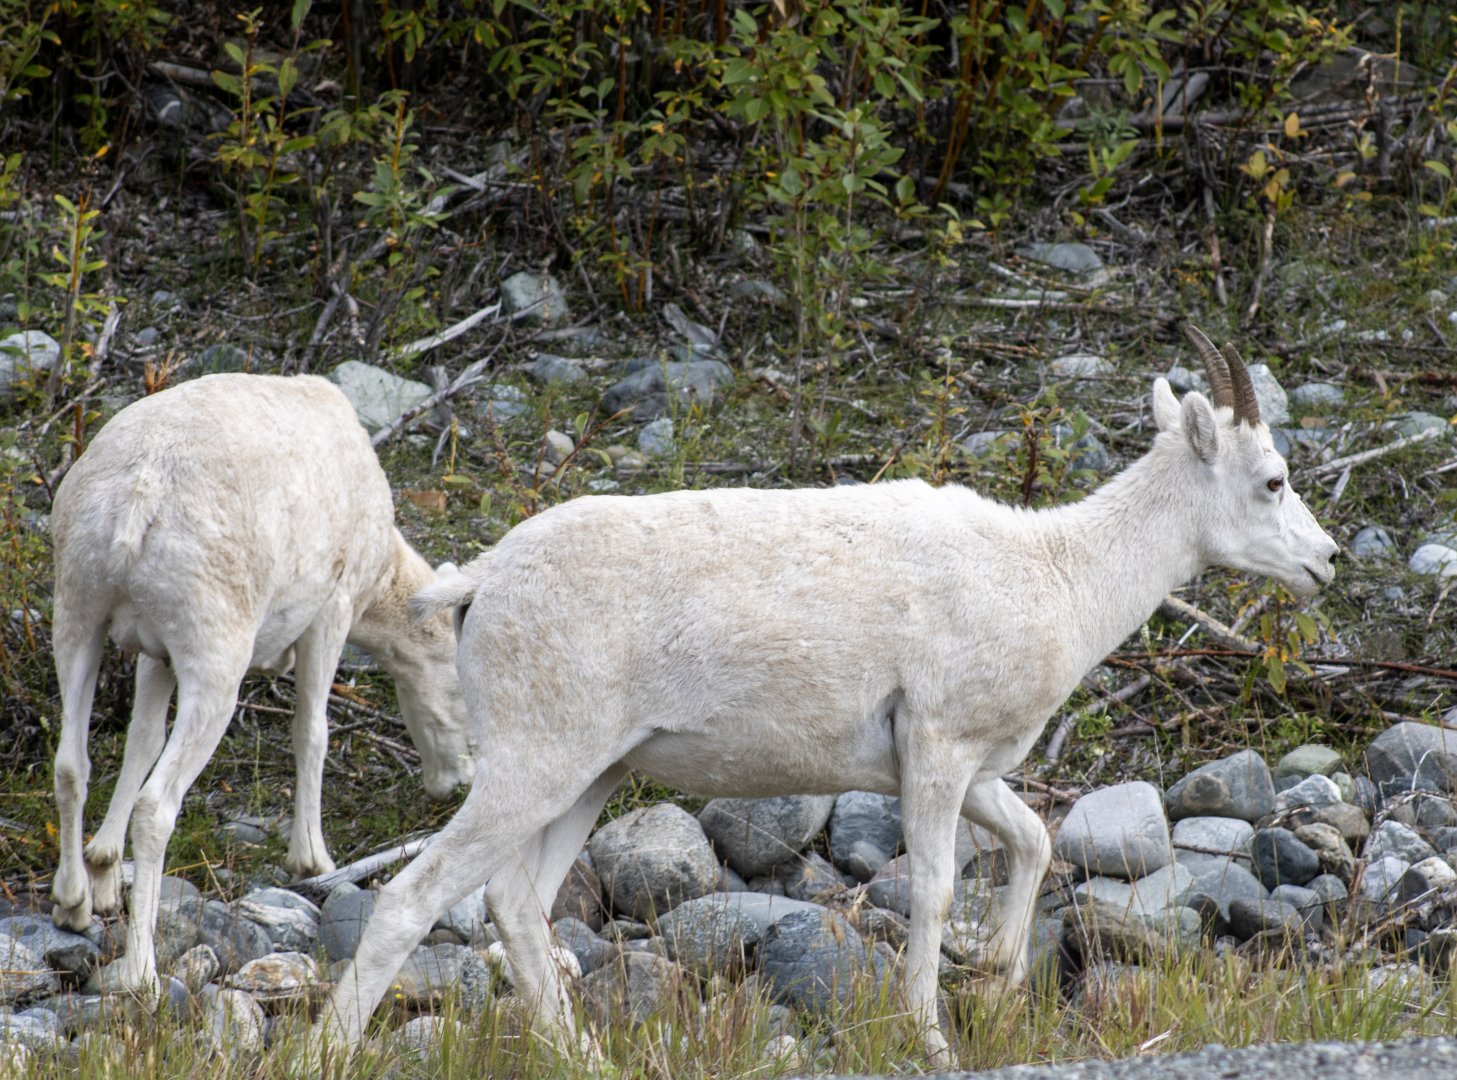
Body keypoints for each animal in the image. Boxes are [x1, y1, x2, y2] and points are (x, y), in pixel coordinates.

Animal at [49, 373, 478, 998]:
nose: (458, 783)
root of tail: (137, 500)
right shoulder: (331, 612)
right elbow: (312, 732)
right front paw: (313, 862)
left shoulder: (157, 655)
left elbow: (140, 743)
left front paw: (104, 869)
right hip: (215, 660)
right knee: (157, 806)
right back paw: (141, 972)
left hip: (78, 616)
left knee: (70, 766)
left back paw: (74, 904)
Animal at [320, 327, 1339, 1065]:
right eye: (1272, 479)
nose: (1325, 562)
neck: (1057, 578)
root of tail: (481, 582)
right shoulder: (937, 748)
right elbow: (932, 886)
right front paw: (932, 1038)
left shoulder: (964, 767)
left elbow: (1035, 839)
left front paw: (997, 974)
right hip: (536, 763)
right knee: (415, 896)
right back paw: (329, 1050)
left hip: (590, 777)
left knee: (514, 902)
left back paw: (583, 1056)